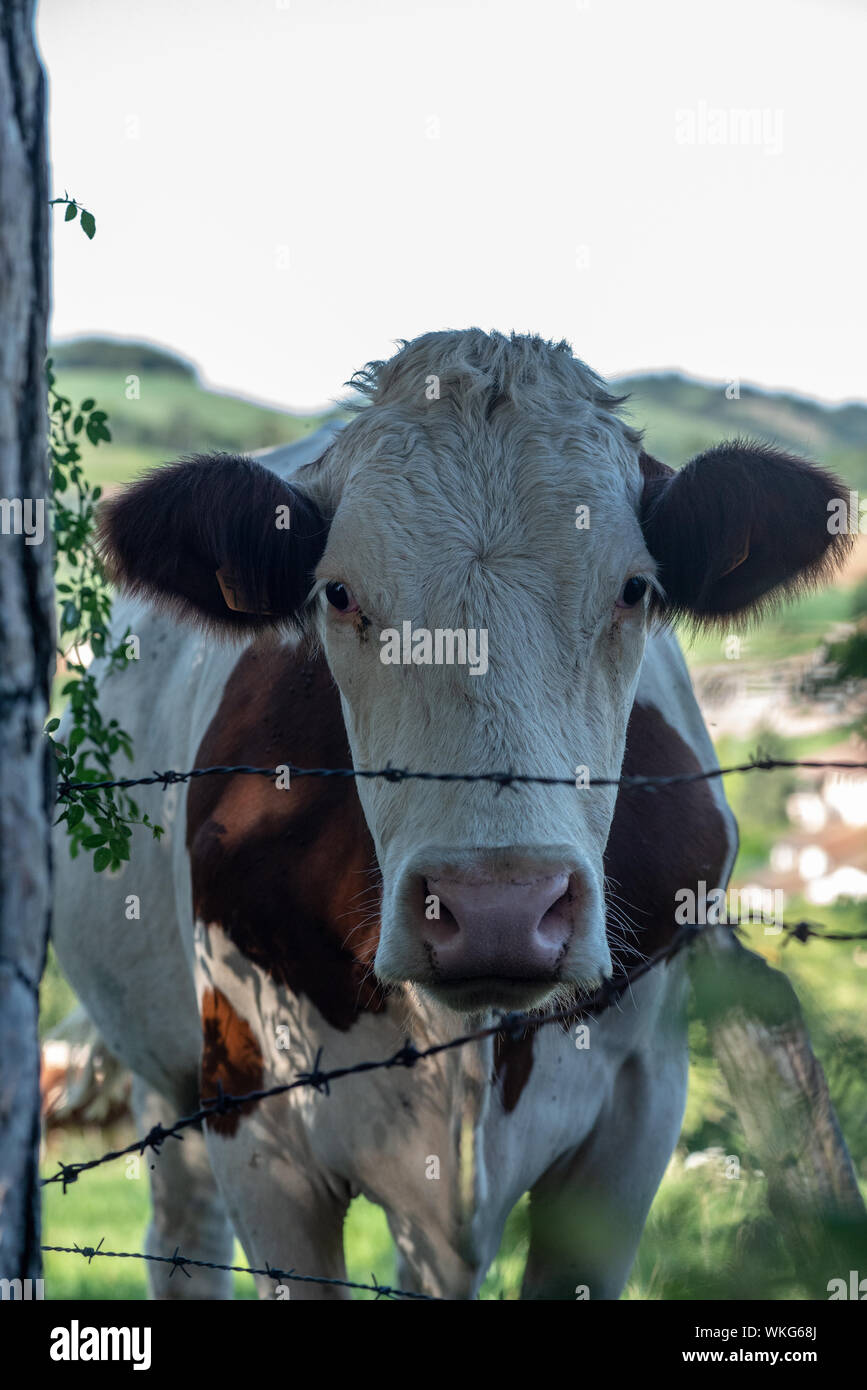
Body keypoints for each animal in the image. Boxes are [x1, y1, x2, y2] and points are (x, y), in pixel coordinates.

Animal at [48, 330, 855, 1295]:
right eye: (338, 593)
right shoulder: (257, 1121)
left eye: (633, 589)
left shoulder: (636, 1111)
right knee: (182, 1225)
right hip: (169, 1073)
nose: (496, 910)